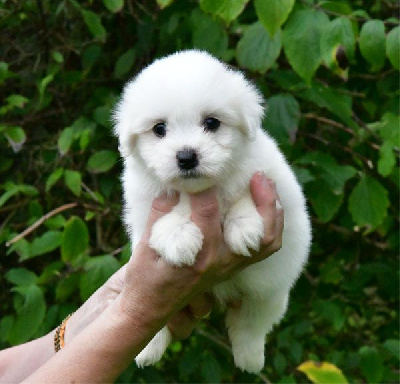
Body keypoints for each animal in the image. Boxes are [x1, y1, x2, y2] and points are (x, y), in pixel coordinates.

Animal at [114, 49, 310, 374]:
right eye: (159, 129)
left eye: (212, 122)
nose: (186, 156)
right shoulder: (144, 204)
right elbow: (173, 211)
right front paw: (178, 234)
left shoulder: (268, 176)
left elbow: (242, 190)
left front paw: (244, 227)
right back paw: (147, 350)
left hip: (270, 291)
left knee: (251, 325)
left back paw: (249, 358)